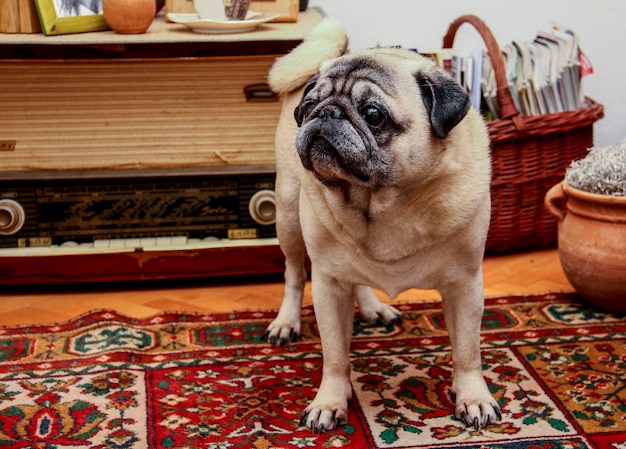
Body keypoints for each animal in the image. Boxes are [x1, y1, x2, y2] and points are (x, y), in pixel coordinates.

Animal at [266, 19, 500, 432]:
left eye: (374, 114)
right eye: (308, 107)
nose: (326, 113)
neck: (383, 202)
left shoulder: (466, 284)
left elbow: (468, 351)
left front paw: (473, 397)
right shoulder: (328, 284)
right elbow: (335, 355)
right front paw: (330, 401)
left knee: (359, 277)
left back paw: (374, 308)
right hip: (289, 218)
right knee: (294, 273)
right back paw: (286, 322)